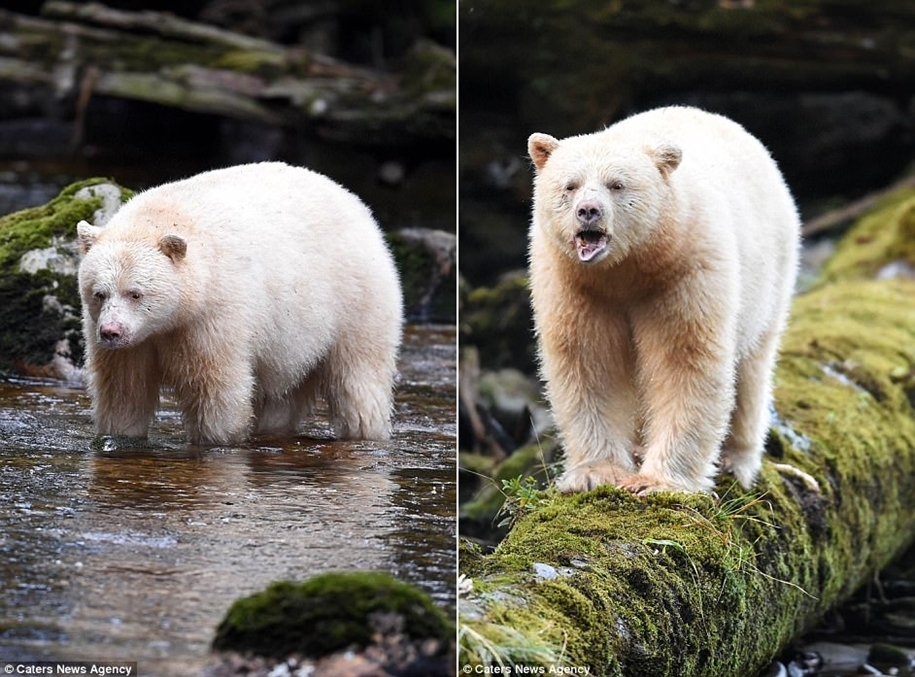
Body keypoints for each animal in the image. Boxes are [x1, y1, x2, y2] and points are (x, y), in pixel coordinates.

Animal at [77, 162, 406, 446]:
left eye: (135, 293)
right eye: (99, 293)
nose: (111, 332)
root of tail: (356, 204)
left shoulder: (212, 317)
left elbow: (215, 387)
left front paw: (216, 439)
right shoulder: (127, 343)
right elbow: (123, 389)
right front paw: (118, 436)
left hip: (356, 298)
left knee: (358, 380)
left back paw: (364, 431)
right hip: (292, 343)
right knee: (282, 395)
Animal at [528, 107, 800, 496]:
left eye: (617, 184)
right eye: (570, 185)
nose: (588, 211)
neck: (629, 267)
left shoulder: (685, 272)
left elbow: (684, 360)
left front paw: (657, 482)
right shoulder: (575, 284)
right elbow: (589, 361)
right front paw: (596, 473)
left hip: (771, 273)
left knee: (753, 366)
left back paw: (738, 460)